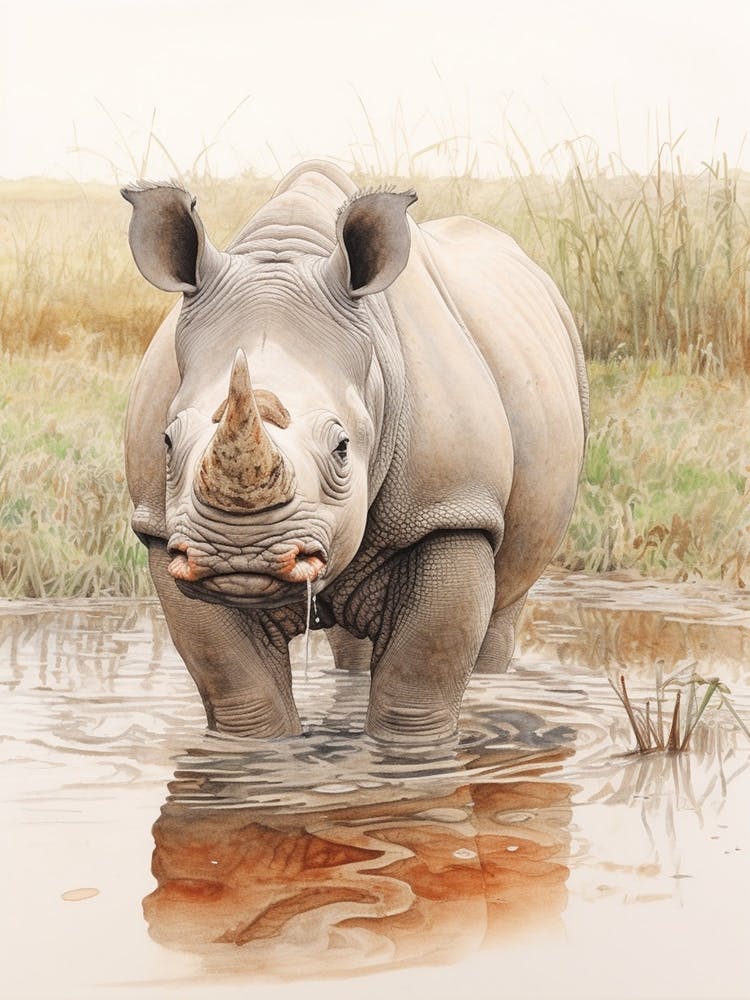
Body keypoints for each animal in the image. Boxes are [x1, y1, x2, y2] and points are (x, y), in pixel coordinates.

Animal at [122, 160, 588, 743]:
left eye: (343, 448)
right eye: (167, 442)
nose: (240, 552)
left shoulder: (451, 508)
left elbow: (415, 687)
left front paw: (411, 755)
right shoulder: (163, 531)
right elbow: (241, 690)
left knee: (504, 605)